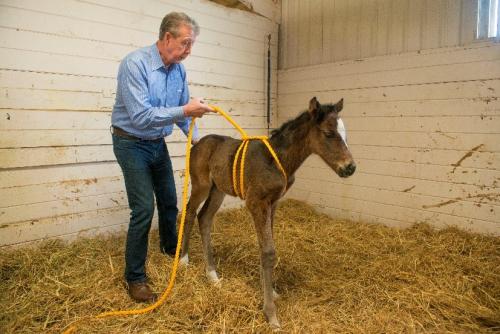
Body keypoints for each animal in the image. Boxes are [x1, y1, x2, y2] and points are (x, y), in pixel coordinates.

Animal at [180, 97, 356, 328]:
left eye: (345, 133)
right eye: (328, 133)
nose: (350, 167)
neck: (278, 160)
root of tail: (197, 143)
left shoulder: (273, 203)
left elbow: (267, 248)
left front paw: (271, 291)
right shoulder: (256, 202)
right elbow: (268, 252)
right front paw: (271, 314)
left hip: (218, 189)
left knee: (205, 218)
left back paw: (212, 275)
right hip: (201, 185)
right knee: (189, 212)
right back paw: (184, 261)